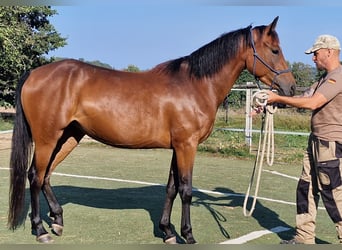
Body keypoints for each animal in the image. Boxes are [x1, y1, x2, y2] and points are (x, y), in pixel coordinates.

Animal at [9, 16, 296, 243]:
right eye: (274, 50)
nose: (291, 87)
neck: (195, 85)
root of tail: (34, 74)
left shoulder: (177, 147)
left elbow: (171, 188)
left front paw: (167, 231)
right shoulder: (187, 146)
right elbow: (186, 190)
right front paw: (187, 234)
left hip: (69, 136)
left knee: (46, 175)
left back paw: (57, 221)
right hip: (47, 138)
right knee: (35, 176)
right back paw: (40, 229)